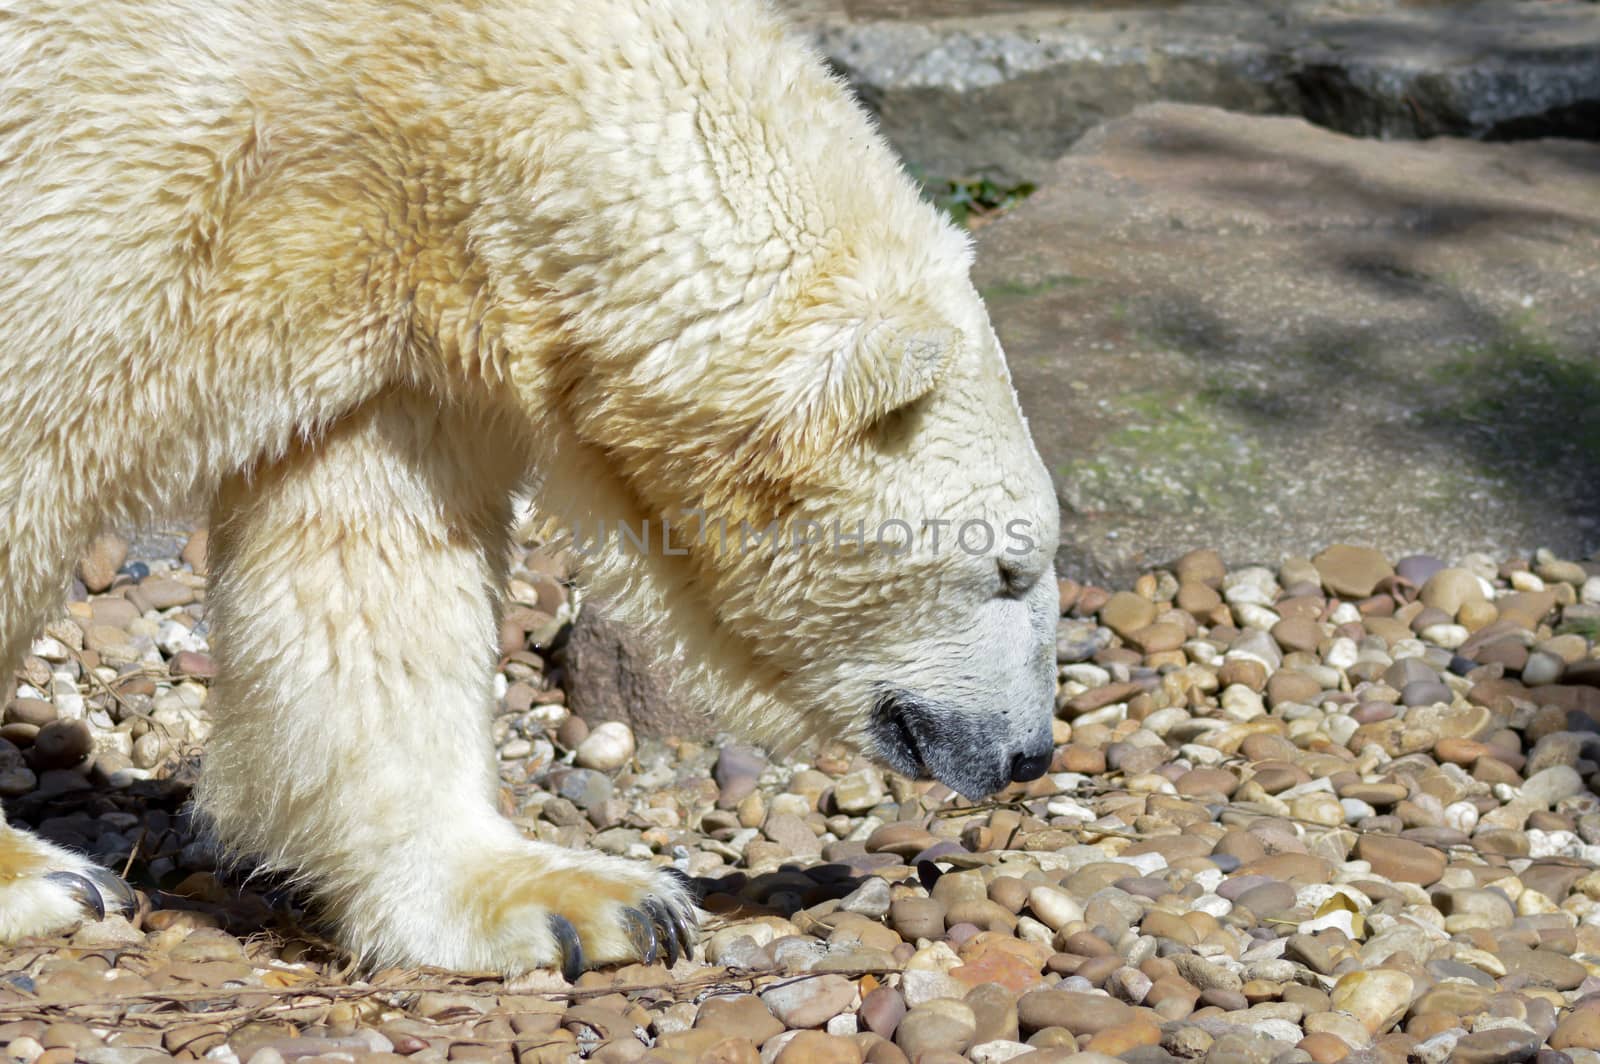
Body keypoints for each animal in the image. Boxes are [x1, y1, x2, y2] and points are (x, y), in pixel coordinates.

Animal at [0, 0, 1062, 972]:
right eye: (1008, 569)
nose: (1030, 753)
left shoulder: (383, 313)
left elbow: (367, 575)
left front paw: (574, 900)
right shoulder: (121, 163)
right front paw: (42, 880)